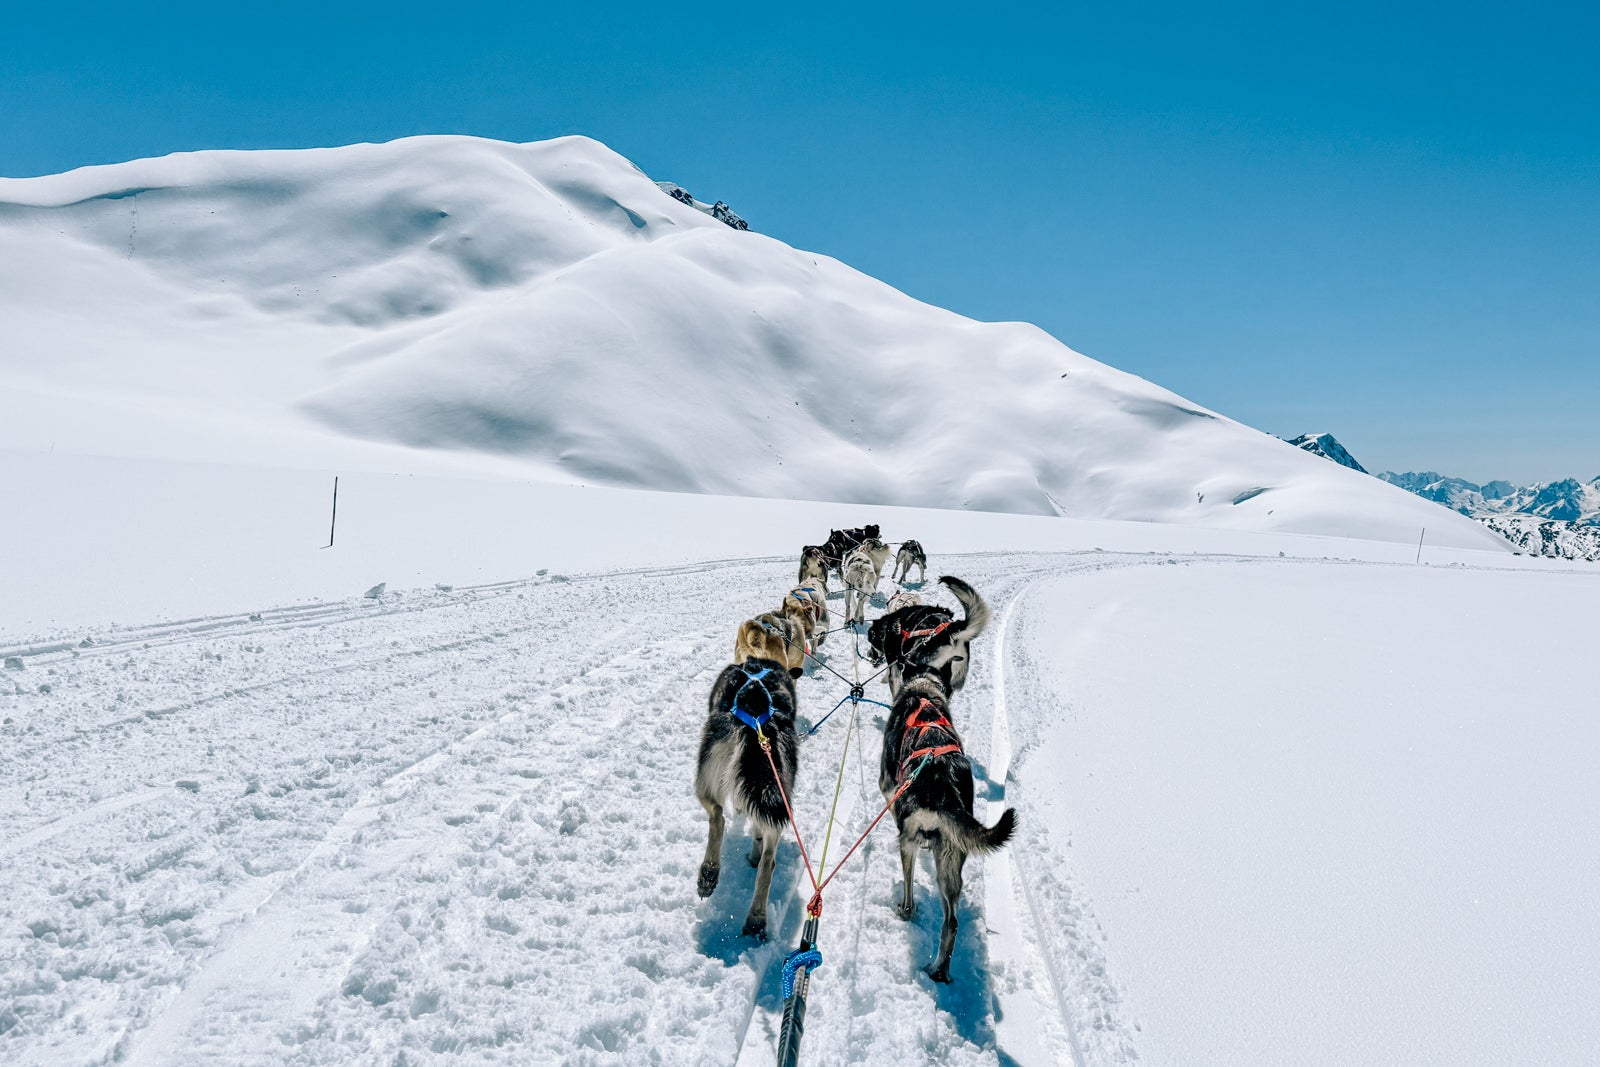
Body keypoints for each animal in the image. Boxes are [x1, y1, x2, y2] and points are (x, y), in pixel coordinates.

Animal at [697, 655, 800, 940]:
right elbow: (758, 830)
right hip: (779, 788)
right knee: (769, 860)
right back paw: (756, 918)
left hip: (704, 776)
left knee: (717, 816)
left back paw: (709, 872)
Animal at [883, 668, 1017, 985]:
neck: (923, 689)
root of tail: (944, 791)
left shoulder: (887, 787)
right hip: (950, 862)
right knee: (952, 923)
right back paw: (938, 971)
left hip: (909, 844)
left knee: (910, 900)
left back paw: (904, 912)